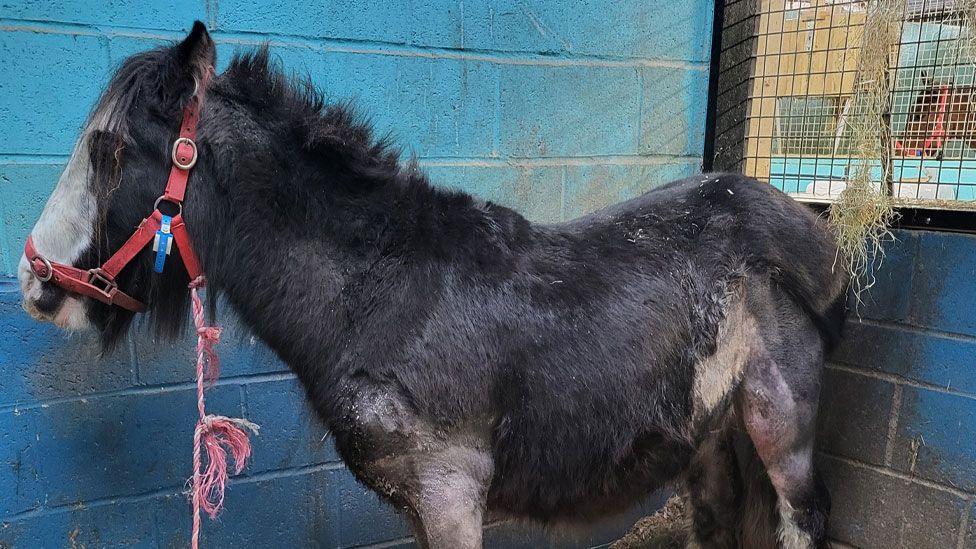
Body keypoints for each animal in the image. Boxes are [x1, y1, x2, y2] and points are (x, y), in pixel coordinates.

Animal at [19, 23, 852, 544]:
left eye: (109, 151)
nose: (34, 280)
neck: (381, 295)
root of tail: (807, 225)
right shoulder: (422, 505)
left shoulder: (452, 493)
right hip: (706, 434)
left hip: (781, 424)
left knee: (804, 515)